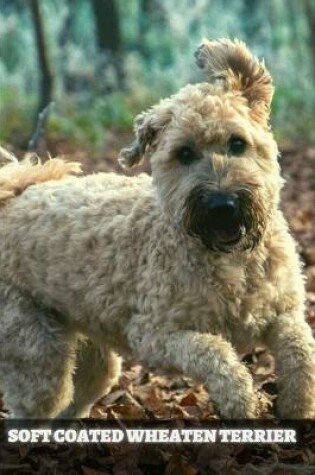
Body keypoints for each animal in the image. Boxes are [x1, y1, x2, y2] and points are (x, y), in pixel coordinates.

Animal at [0, 41, 315, 420]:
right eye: (184, 153)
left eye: (237, 143)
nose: (222, 205)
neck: (231, 260)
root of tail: (11, 200)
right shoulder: (155, 335)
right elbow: (217, 356)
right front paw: (241, 402)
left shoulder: (284, 312)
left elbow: (301, 352)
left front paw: (297, 405)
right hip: (37, 351)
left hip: (90, 351)